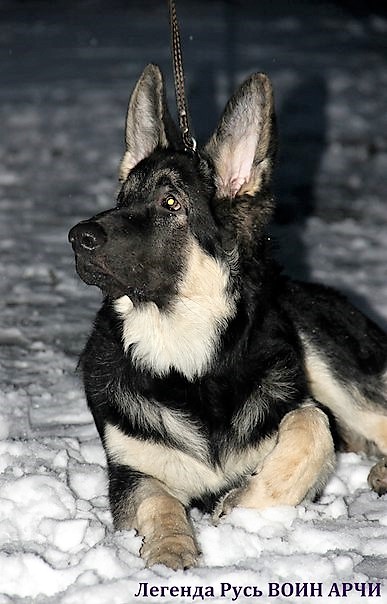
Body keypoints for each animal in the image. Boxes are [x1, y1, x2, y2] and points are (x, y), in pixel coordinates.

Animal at [69, 66, 387, 572]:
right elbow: (157, 501)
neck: (188, 364)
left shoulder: (299, 406)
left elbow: (310, 426)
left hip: (327, 359)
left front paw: (241, 503)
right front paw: (171, 548)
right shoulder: (129, 474)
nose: (77, 237)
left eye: (171, 203)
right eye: (122, 198)